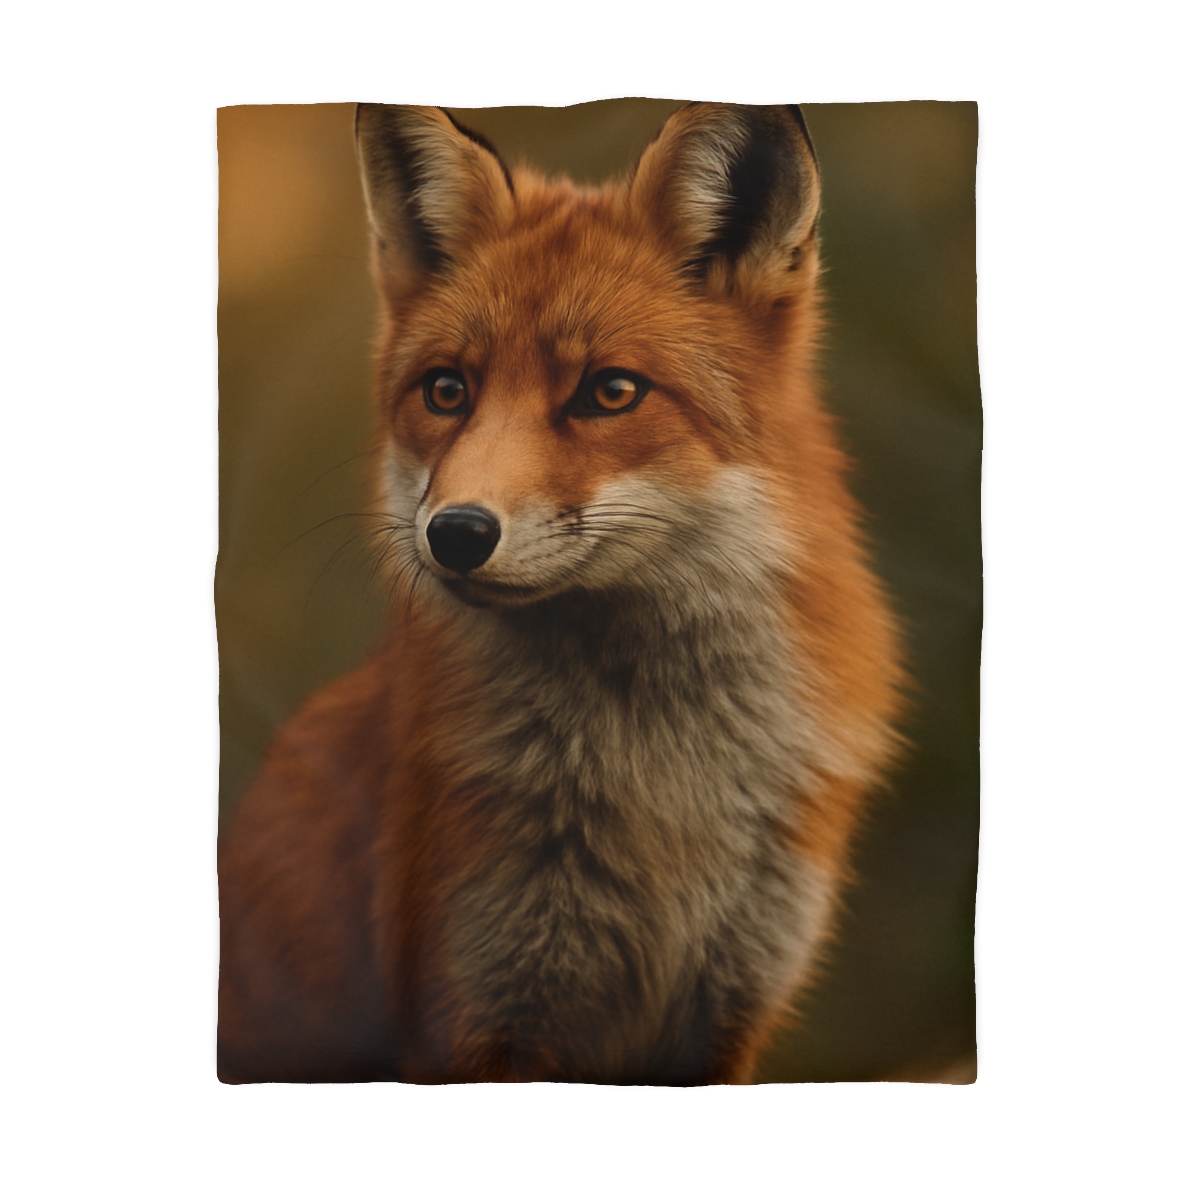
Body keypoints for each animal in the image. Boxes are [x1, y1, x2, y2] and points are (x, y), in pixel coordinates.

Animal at [217, 101, 904, 1085]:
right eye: (447, 390)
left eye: (610, 391)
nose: (457, 534)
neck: (663, 784)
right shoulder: (478, 1000)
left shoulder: (730, 1003)